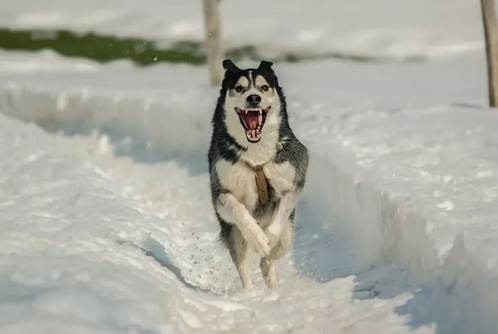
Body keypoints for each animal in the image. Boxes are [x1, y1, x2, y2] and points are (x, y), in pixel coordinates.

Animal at [206, 58, 308, 288]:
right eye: (239, 88)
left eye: (264, 87)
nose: (253, 98)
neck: (256, 154)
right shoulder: (220, 192)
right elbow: (237, 209)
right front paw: (258, 238)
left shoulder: (293, 178)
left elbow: (281, 213)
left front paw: (268, 238)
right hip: (233, 233)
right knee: (243, 266)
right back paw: (251, 292)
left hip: (289, 229)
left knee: (277, 251)